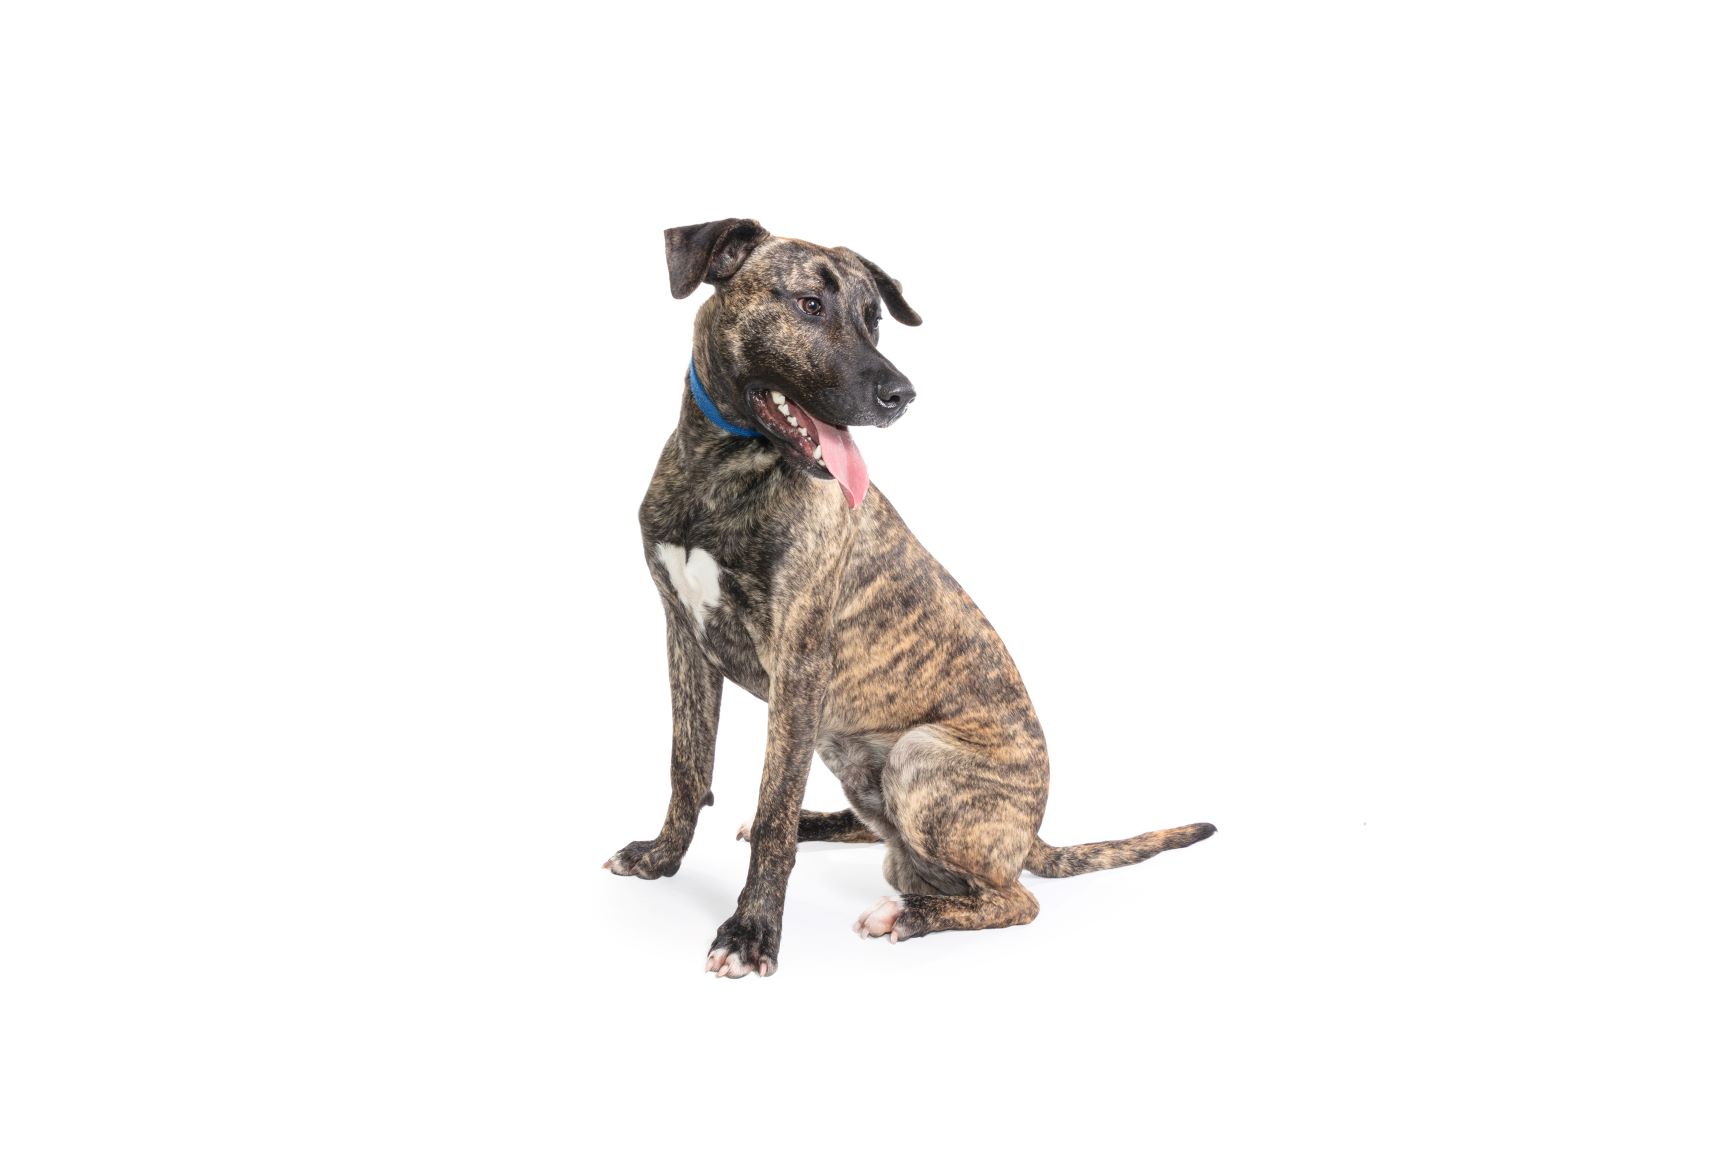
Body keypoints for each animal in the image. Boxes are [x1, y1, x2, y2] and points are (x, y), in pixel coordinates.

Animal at [604, 218, 1215, 977]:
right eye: (809, 306)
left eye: (875, 320)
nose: (902, 393)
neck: (725, 465)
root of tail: (1033, 831)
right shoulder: (683, 638)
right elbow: (689, 766)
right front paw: (663, 857)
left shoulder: (799, 662)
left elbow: (773, 807)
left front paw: (752, 931)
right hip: (848, 748)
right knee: (878, 833)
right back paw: (826, 827)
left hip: (918, 756)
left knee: (1012, 897)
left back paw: (910, 914)